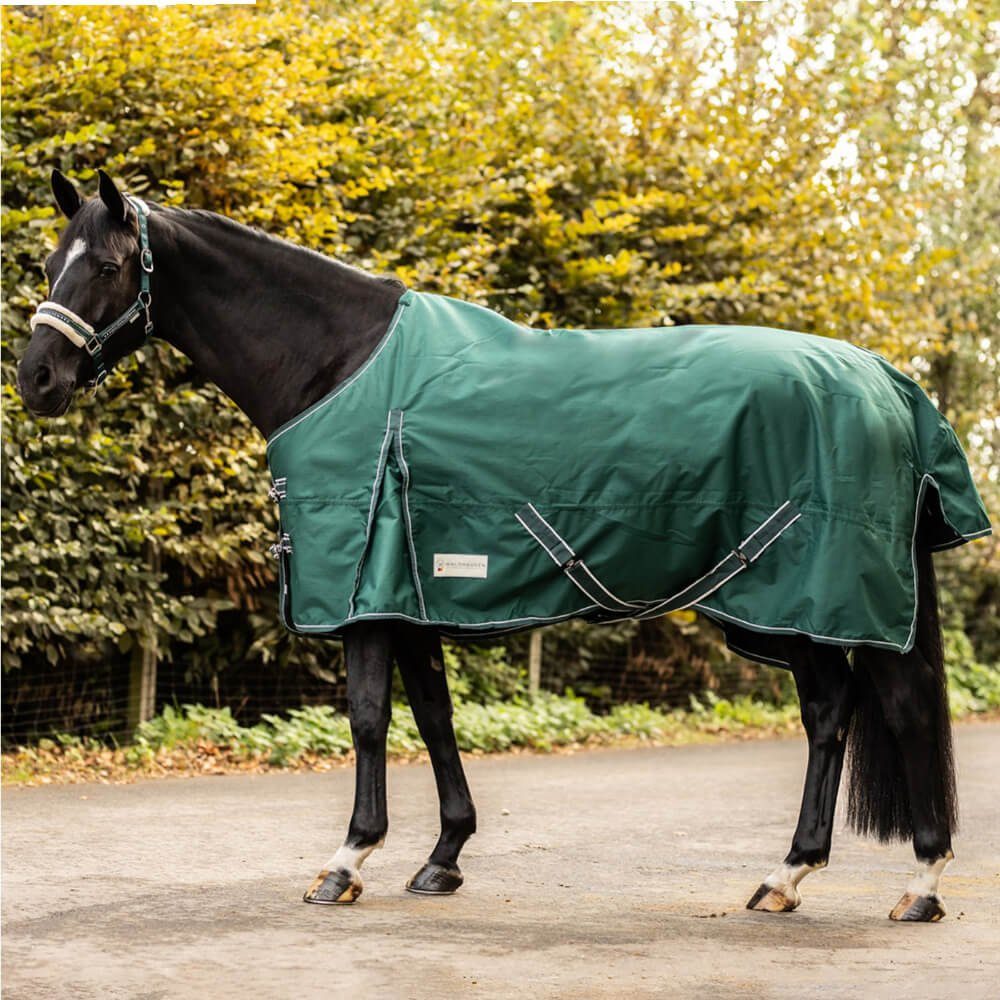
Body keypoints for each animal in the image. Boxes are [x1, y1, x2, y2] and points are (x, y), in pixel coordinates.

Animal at [16, 169, 989, 922]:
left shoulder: (364, 594)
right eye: (48, 263)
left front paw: (346, 862)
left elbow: (367, 718)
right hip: (794, 614)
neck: (340, 365)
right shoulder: (405, 592)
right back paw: (787, 877)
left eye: (108, 266)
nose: (37, 379)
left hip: (820, 597)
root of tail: (887, 382)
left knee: (890, 708)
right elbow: (435, 718)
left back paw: (919, 883)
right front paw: (441, 857)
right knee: (831, 715)